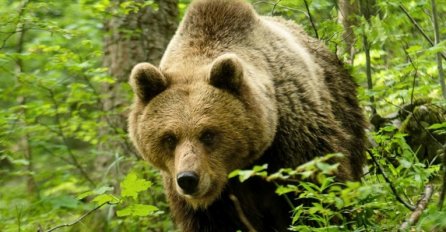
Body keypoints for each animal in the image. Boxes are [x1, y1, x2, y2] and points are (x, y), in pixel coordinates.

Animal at [128, 0, 366, 230]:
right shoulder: (207, 199)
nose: (188, 179)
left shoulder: (295, 138)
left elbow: (314, 192)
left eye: (208, 134)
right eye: (169, 137)